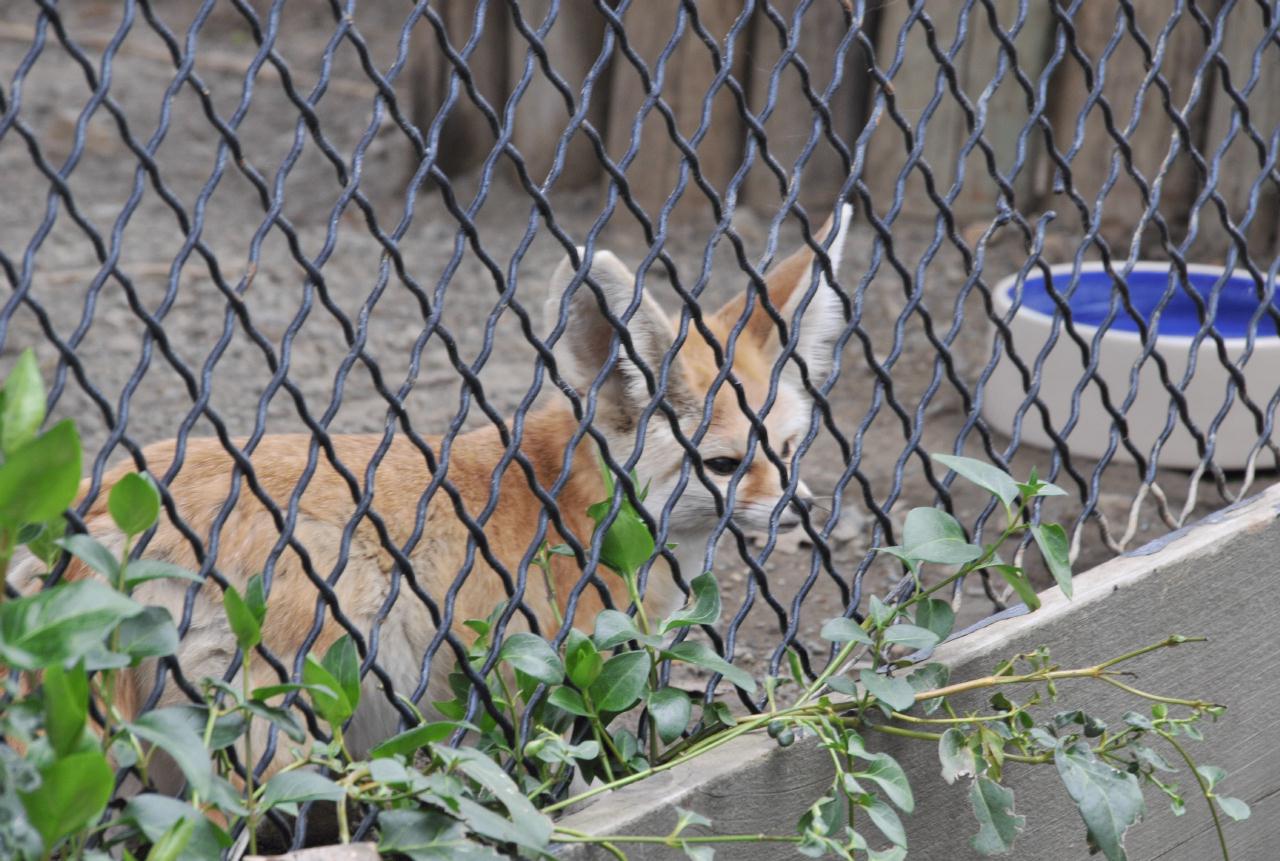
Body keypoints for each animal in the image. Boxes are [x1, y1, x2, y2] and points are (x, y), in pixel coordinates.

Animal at [10, 203, 855, 772]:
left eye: (787, 449)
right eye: (725, 464)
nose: (804, 508)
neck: (582, 505)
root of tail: (103, 510)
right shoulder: (540, 692)